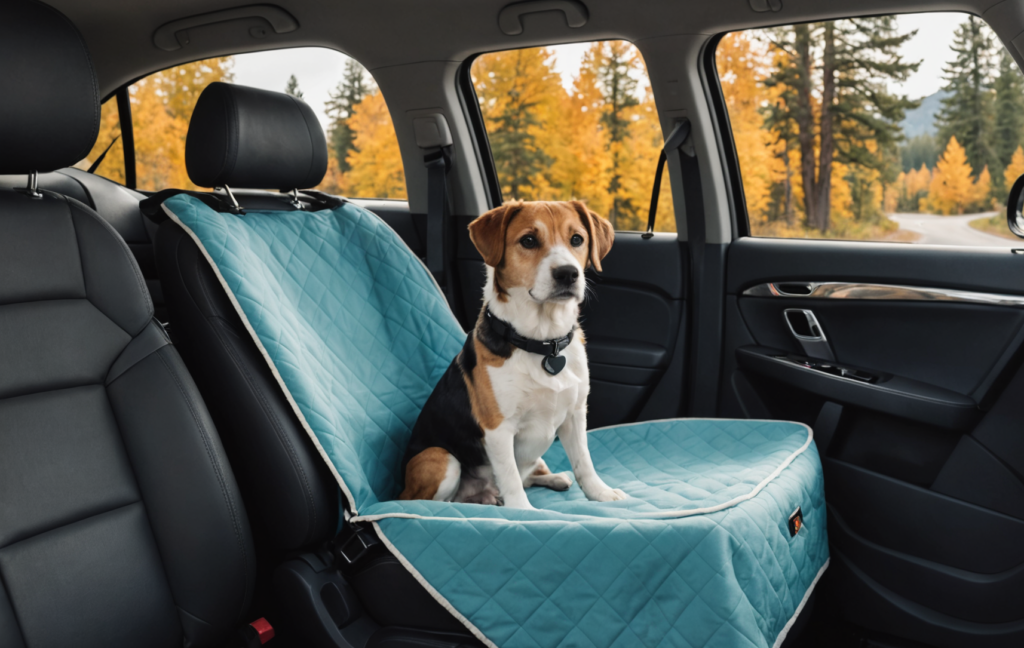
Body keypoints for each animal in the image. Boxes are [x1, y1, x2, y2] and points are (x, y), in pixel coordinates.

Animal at [397, 199, 622, 507]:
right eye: (528, 240)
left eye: (577, 239)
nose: (568, 273)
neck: (543, 342)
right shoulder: (498, 430)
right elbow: (511, 478)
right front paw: (522, 511)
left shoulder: (575, 415)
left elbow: (584, 463)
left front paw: (601, 493)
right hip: (441, 459)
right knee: (438, 500)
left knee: (533, 473)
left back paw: (553, 478)